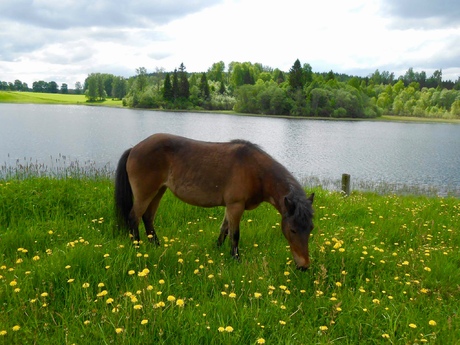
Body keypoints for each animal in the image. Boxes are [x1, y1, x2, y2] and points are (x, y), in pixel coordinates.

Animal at [115, 133, 316, 270]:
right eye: (292, 229)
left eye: (310, 229)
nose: (304, 266)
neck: (255, 171)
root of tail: (135, 148)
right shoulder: (236, 206)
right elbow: (234, 234)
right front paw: (235, 259)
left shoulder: (231, 207)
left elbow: (224, 229)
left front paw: (217, 250)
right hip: (145, 193)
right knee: (134, 217)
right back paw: (138, 248)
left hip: (158, 191)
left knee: (148, 217)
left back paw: (156, 246)